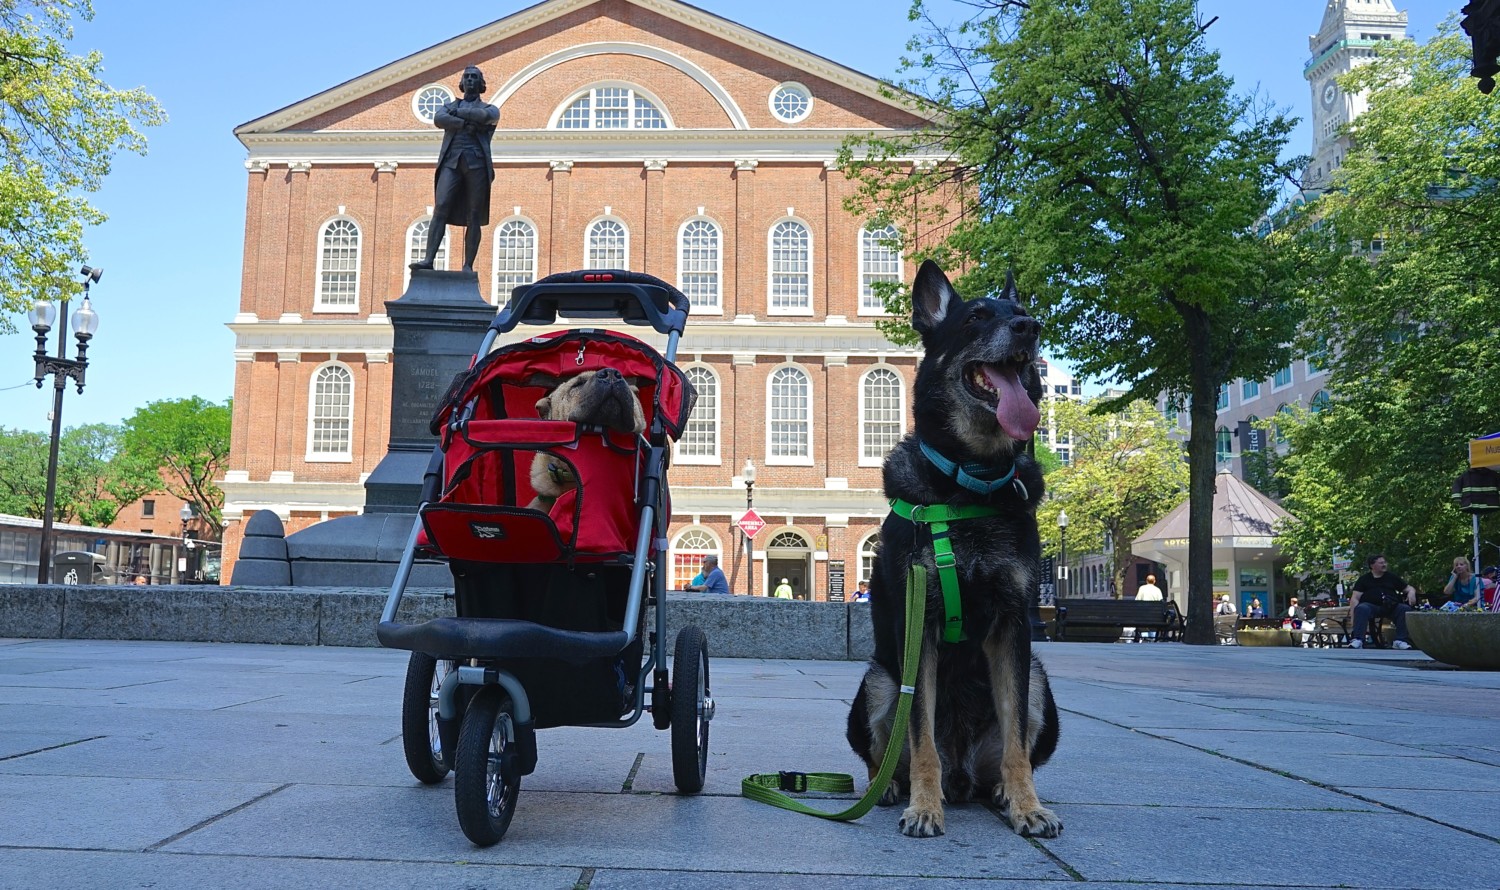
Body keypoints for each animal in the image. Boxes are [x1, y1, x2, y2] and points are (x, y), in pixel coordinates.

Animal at [846, 259, 1068, 834]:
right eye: (976, 317)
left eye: (1022, 310)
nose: (1029, 327)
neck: (971, 482)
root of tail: (963, 773)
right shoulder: (918, 629)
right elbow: (920, 736)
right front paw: (924, 806)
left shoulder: (1014, 628)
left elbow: (1016, 741)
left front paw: (1029, 806)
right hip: (878, 679)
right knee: (885, 754)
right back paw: (891, 788)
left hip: (1040, 679)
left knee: (1011, 749)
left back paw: (1001, 792)